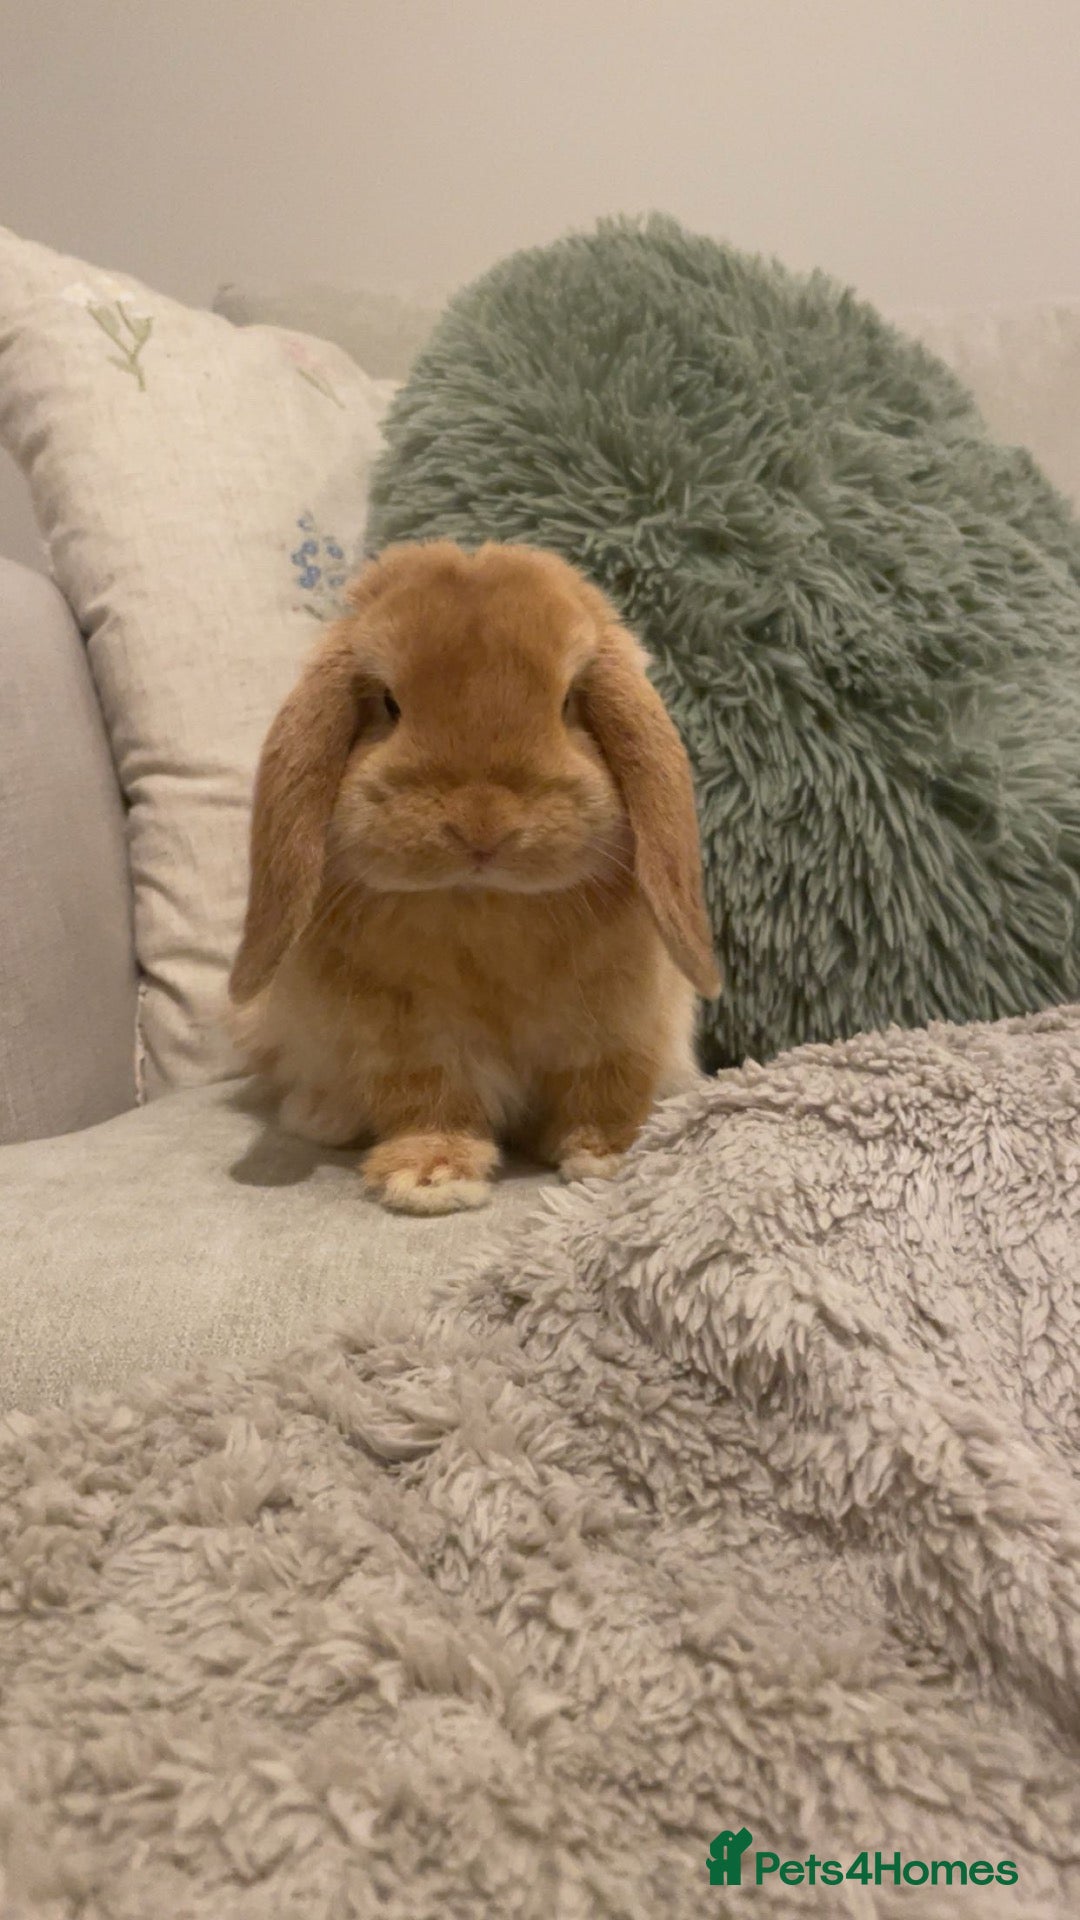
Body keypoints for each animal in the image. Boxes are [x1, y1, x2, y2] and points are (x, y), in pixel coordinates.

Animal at [228, 540, 720, 1213]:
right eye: (389, 703)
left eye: (568, 702)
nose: (482, 823)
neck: (486, 901)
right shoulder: (411, 1042)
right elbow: (431, 1104)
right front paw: (432, 1179)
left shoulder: (618, 1030)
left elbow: (605, 1088)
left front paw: (608, 1155)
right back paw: (319, 1116)